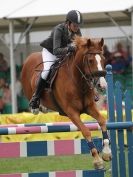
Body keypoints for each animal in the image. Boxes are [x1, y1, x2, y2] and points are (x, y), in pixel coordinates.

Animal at [21, 35, 111, 169]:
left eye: (104, 60)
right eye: (90, 60)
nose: (102, 85)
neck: (77, 81)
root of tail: (29, 57)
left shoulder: (89, 107)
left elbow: (102, 121)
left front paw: (106, 153)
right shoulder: (71, 112)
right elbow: (86, 131)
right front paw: (97, 160)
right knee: (34, 98)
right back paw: (36, 106)